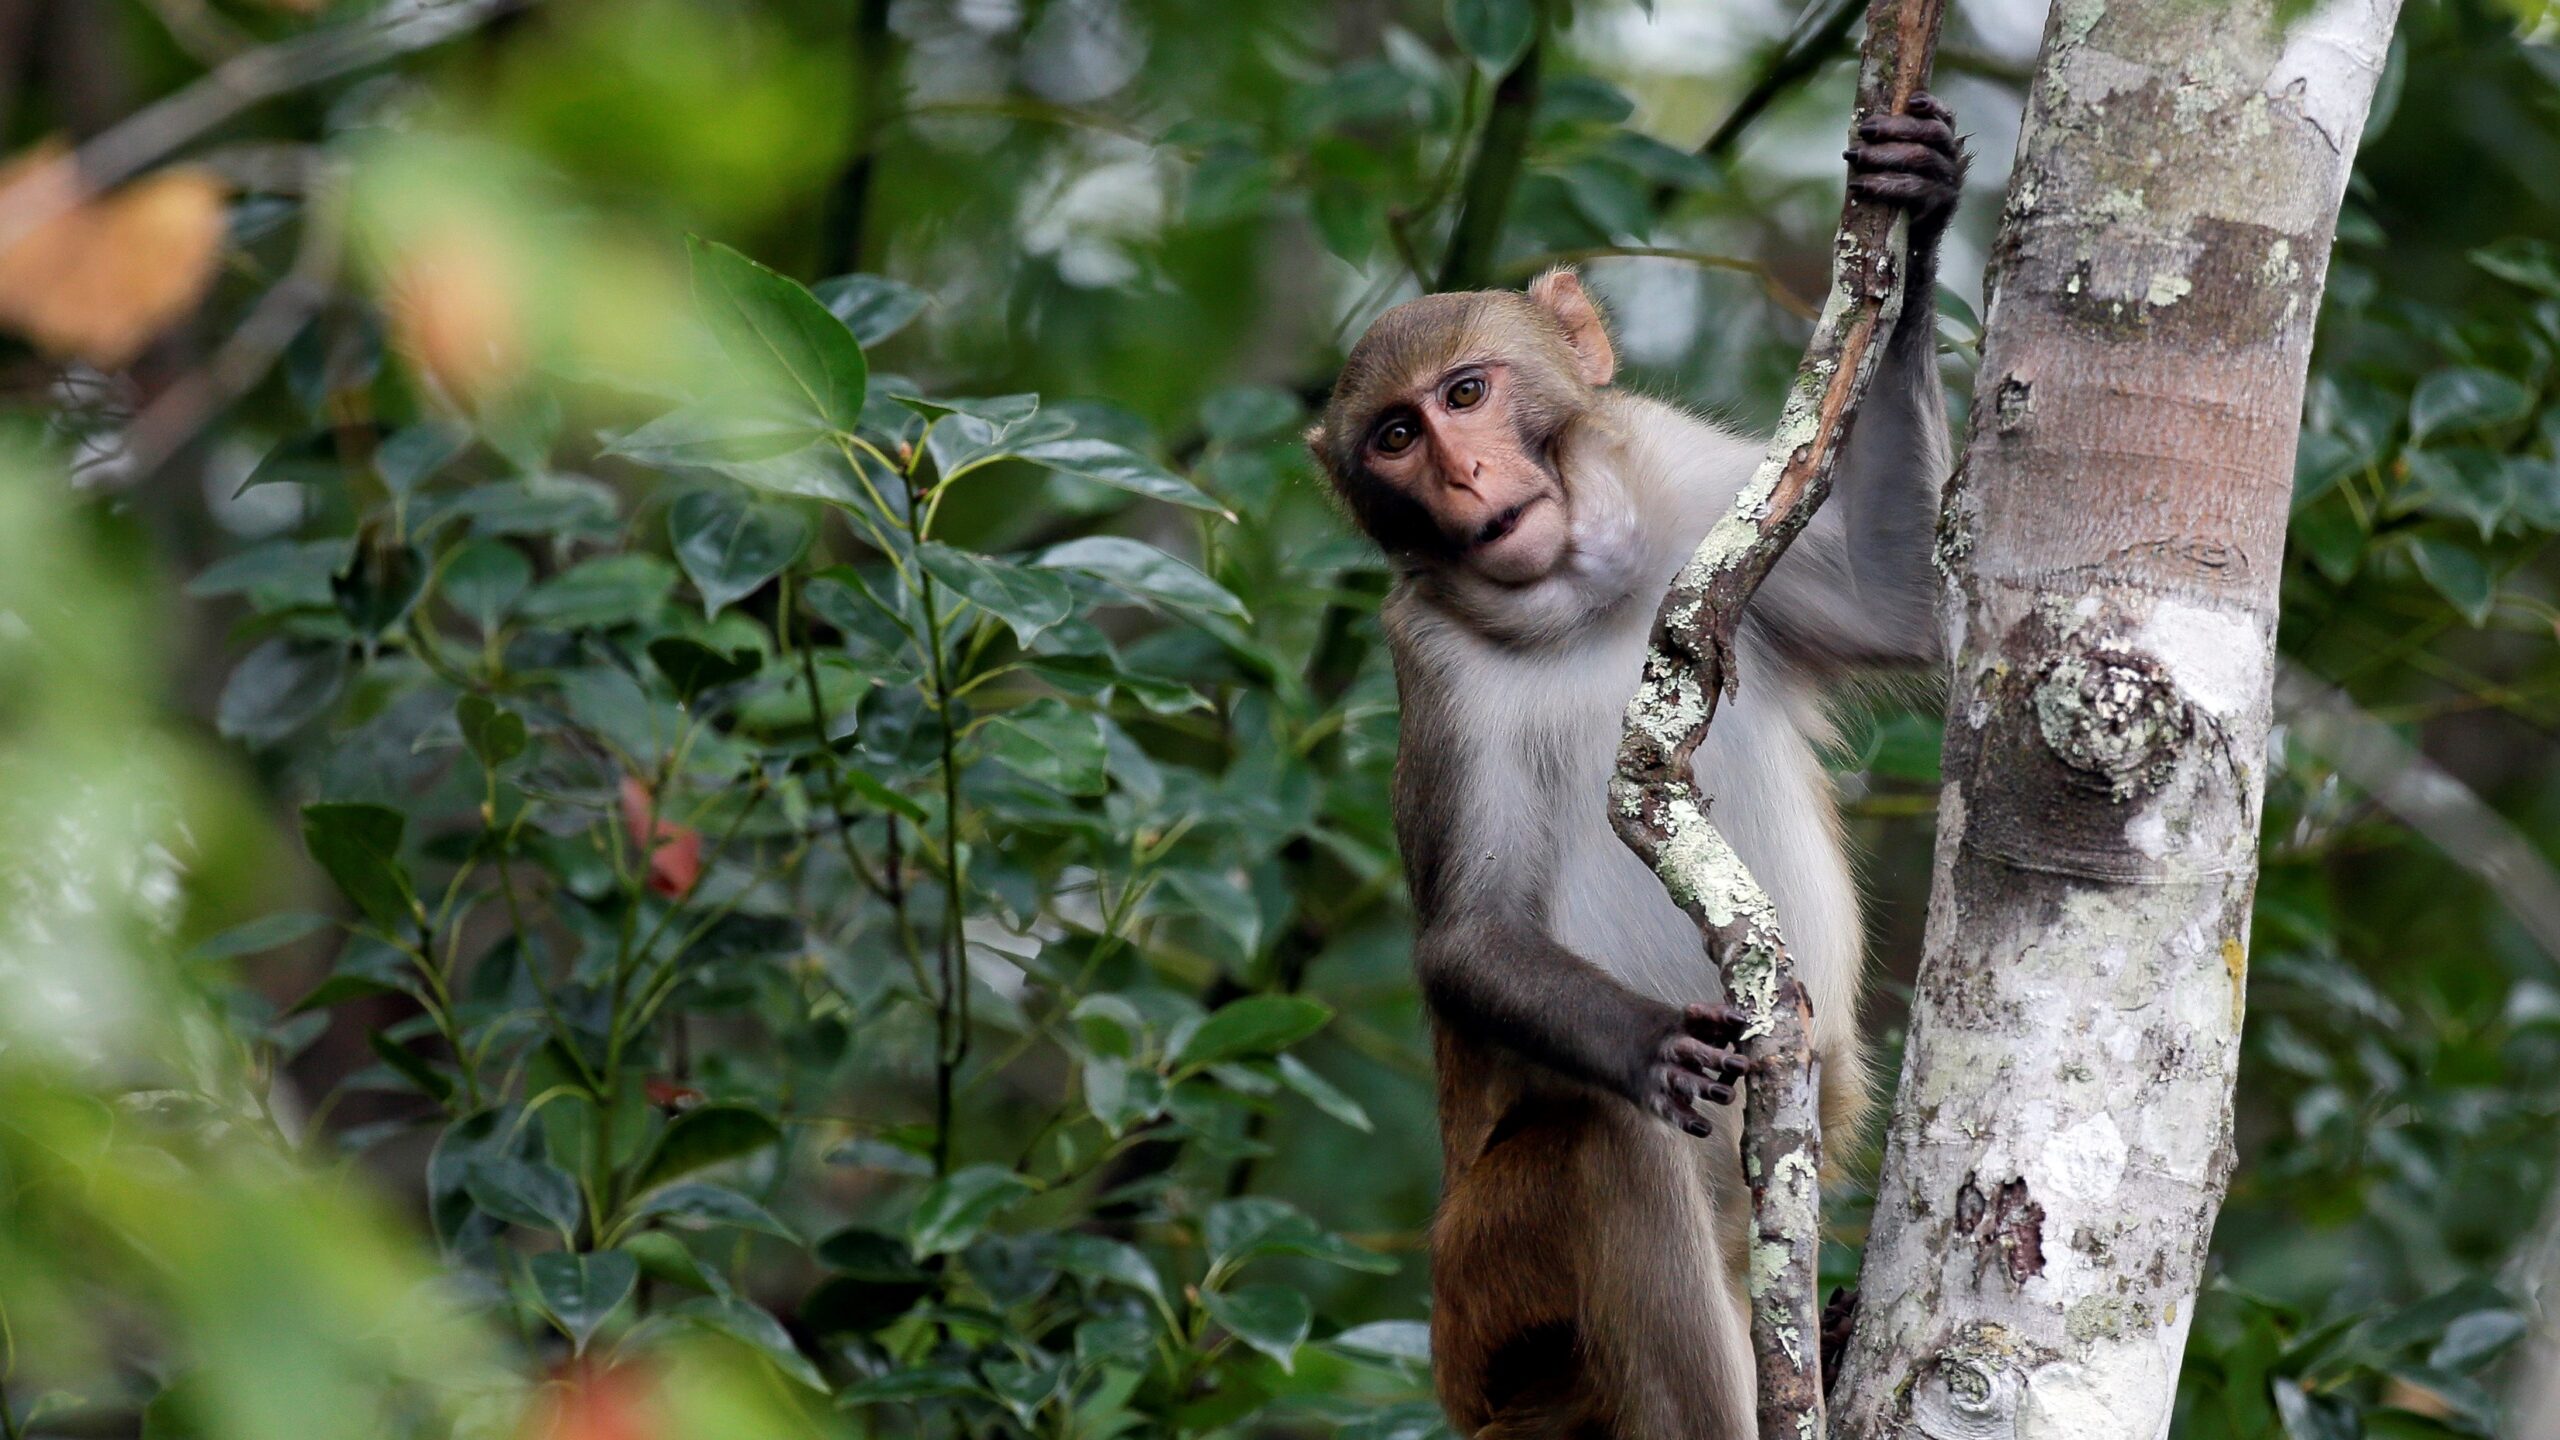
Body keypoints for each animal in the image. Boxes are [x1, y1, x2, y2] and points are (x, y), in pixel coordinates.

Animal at [1310, 95, 1966, 1424]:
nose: (1462, 476)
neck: (1582, 599)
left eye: (1466, 392)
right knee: (1610, 1155)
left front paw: (1918, 212)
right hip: (1492, 1282)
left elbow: (1904, 604)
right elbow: (1467, 937)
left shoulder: (1700, 490)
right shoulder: (1432, 669)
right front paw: (1648, 1045)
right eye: (1396, 436)